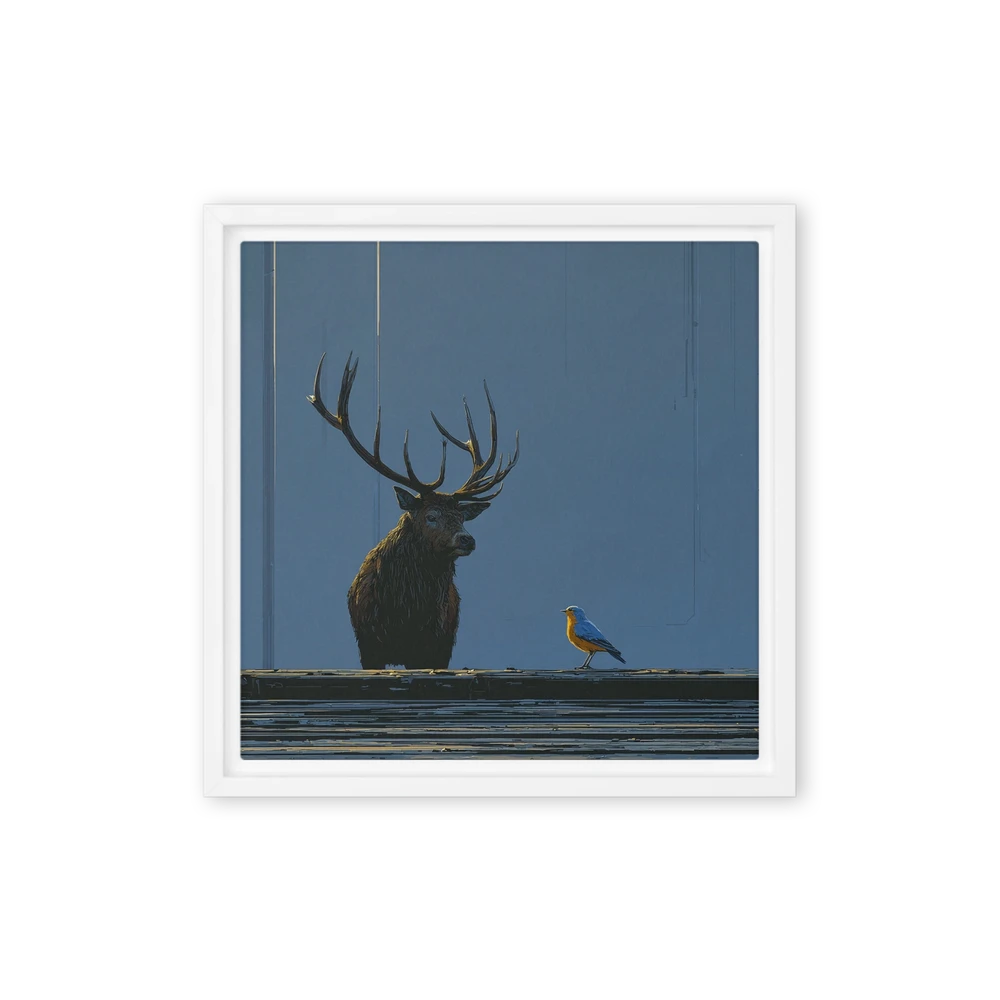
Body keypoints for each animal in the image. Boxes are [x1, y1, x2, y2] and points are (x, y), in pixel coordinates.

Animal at [307, 351, 519, 670]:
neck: (405, 617)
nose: (467, 539)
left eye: (462, 517)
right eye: (431, 517)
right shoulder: (368, 647)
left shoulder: (436, 646)